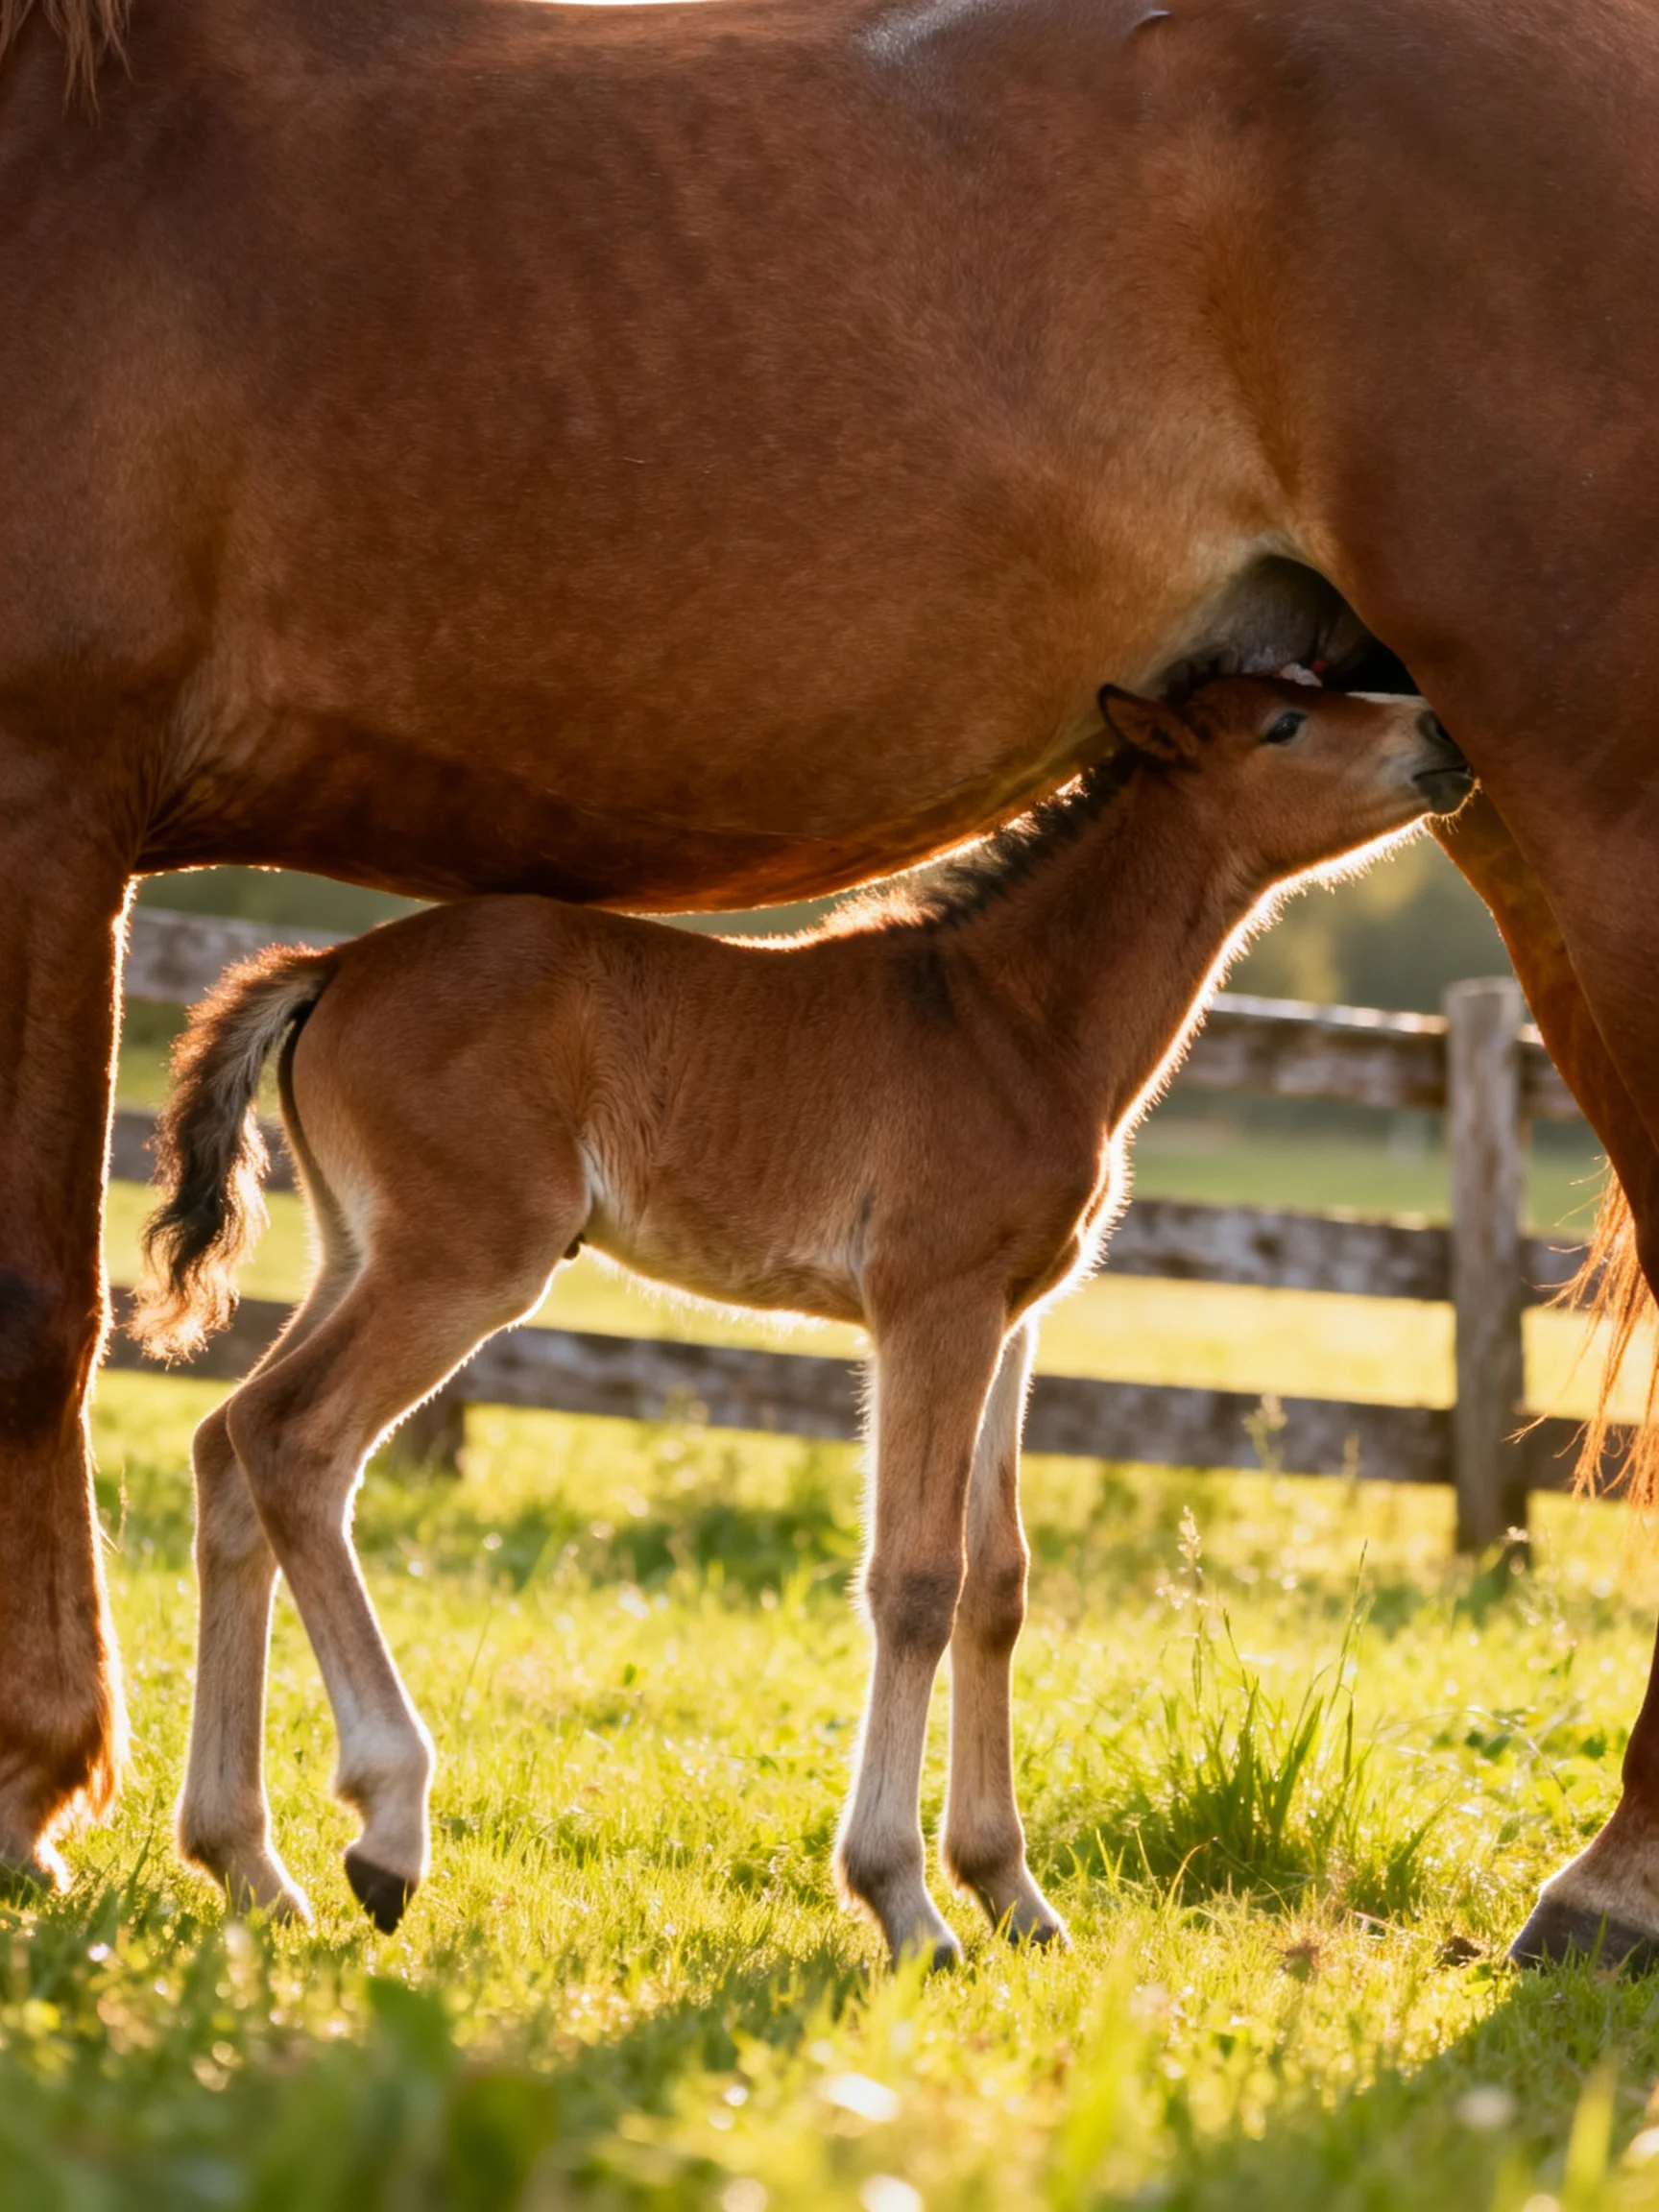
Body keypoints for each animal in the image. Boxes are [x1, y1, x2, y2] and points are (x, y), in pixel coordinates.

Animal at [127, 678, 1468, 1956]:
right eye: (1287, 720)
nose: (1440, 735)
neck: (1015, 1020)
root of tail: (333, 968)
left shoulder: (1012, 1319)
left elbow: (998, 1584)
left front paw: (1012, 1892)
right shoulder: (932, 1306)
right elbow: (917, 1580)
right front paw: (905, 1902)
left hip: (358, 1251)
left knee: (227, 1445)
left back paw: (246, 1863)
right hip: (464, 1261)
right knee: (296, 1441)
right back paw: (387, 1825)